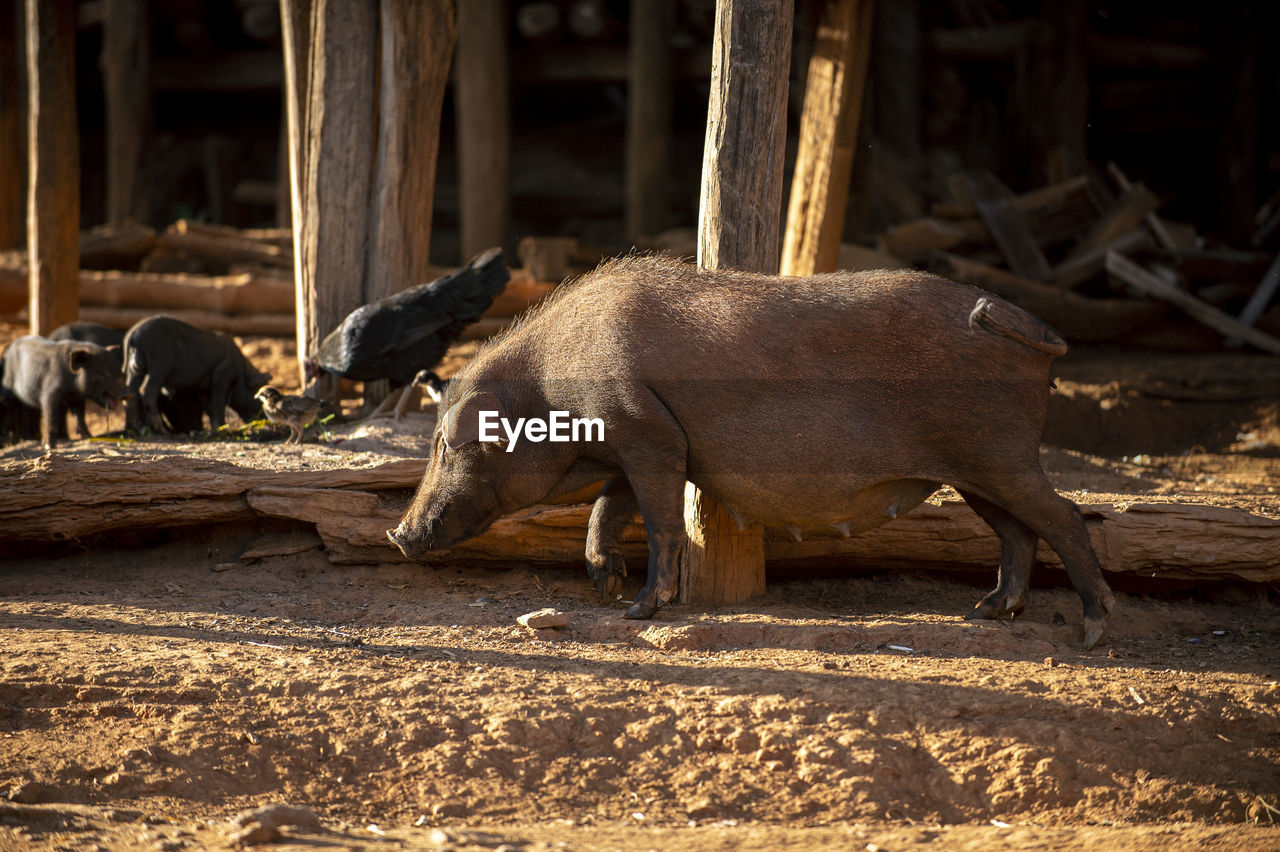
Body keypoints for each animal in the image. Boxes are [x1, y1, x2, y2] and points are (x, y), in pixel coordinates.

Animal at [384, 255, 1116, 647]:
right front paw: (605, 583)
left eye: (445, 444)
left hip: (1000, 454)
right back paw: (987, 612)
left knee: (1064, 516)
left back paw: (1093, 631)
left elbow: (660, 522)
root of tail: (1024, 325)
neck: (549, 382)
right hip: (975, 470)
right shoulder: (637, 444)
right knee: (1018, 531)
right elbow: (607, 510)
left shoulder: (645, 432)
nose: (398, 533)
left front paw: (639, 609)